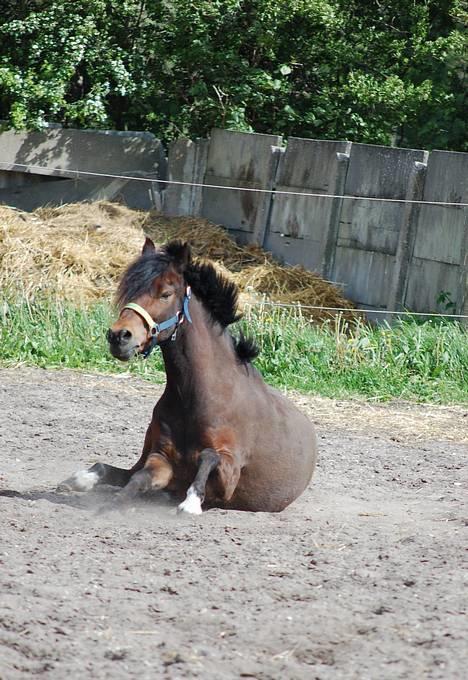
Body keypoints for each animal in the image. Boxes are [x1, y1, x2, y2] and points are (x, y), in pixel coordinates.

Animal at [56, 242, 316, 512]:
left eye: (166, 294)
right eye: (130, 291)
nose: (119, 336)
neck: (196, 396)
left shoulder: (229, 475)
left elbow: (208, 456)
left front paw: (191, 502)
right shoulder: (161, 459)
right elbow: (138, 477)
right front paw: (115, 503)